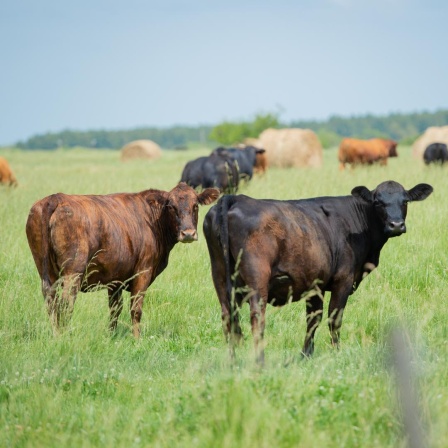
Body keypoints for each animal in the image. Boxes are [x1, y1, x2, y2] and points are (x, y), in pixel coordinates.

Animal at [25, 182, 219, 336]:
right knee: (65, 303)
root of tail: (55, 199)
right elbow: (135, 310)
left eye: (195, 205)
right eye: (171, 206)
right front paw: (137, 339)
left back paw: (56, 334)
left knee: (51, 301)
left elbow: (115, 310)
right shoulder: (143, 272)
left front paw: (112, 336)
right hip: (73, 272)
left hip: (47, 273)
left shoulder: (115, 279)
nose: (188, 233)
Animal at [204, 181, 434, 364]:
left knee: (228, 318)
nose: (396, 225)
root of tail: (236, 198)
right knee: (257, 318)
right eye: (378, 202)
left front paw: (306, 355)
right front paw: (337, 352)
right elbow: (334, 318)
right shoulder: (343, 280)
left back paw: (232, 362)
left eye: (405, 201)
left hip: (219, 275)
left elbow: (313, 319)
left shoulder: (315, 285)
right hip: (257, 278)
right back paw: (259, 361)